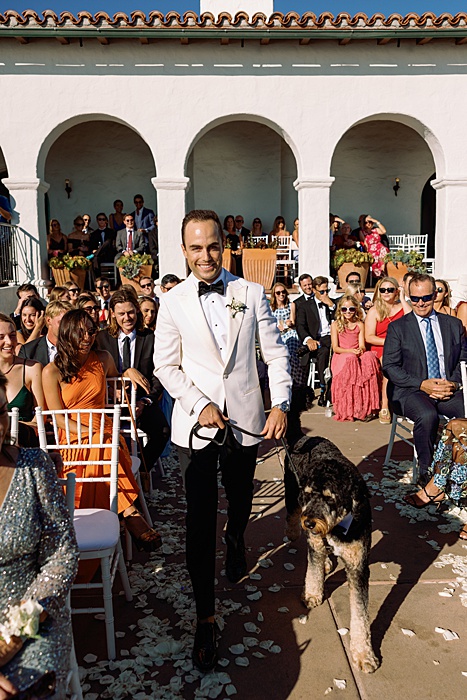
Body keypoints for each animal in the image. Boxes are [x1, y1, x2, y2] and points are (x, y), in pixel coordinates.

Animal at [288, 438, 382, 672]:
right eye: (308, 494)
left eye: (330, 498)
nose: (309, 523)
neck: (339, 526)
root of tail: (303, 438)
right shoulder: (314, 542)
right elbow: (313, 570)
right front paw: (312, 594)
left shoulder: (358, 566)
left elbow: (360, 613)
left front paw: (364, 654)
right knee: (292, 514)